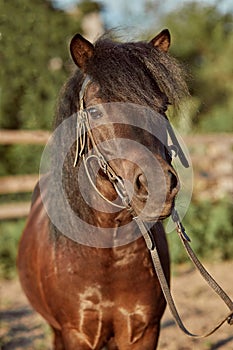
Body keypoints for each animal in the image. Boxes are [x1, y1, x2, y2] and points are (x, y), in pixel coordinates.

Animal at [17, 28, 189, 348]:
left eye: (162, 108)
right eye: (95, 112)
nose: (158, 184)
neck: (107, 254)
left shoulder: (143, 333)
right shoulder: (77, 335)